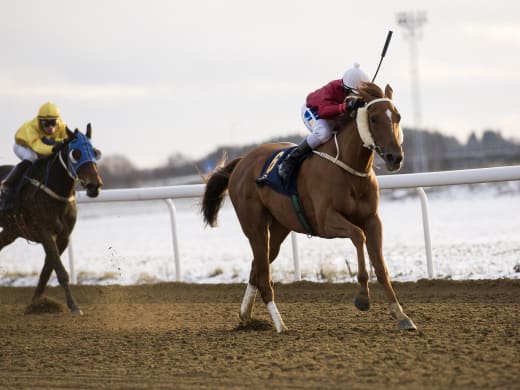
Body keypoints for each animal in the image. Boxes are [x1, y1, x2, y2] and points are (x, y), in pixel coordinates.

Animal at [0, 125, 102, 314]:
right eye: (75, 153)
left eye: (94, 152)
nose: (94, 185)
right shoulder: (45, 232)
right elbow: (60, 272)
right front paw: (74, 307)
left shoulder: (63, 237)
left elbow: (47, 271)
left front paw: (35, 304)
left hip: (11, 231)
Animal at [201, 82, 416, 332]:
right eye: (373, 118)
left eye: (398, 117)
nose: (395, 157)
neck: (350, 168)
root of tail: (242, 161)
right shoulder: (325, 221)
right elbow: (357, 235)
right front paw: (363, 297)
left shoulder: (372, 219)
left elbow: (381, 266)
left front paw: (401, 315)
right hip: (254, 226)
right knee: (263, 274)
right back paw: (279, 324)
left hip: (279, 228)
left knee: (258, 267)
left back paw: (246, 316)